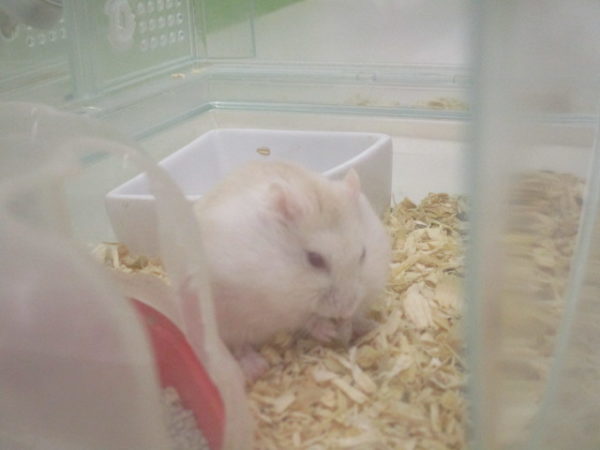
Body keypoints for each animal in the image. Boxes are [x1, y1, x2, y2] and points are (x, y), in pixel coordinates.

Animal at [194, 160, 391, 381]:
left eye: (363, 254)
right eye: (314, 259)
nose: (345, 310)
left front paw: (347, 323)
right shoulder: (279, 305)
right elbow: (305, 318)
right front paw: (328, 330)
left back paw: (369, 325)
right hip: (226, 321)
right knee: (238, 345)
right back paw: (257, 368)